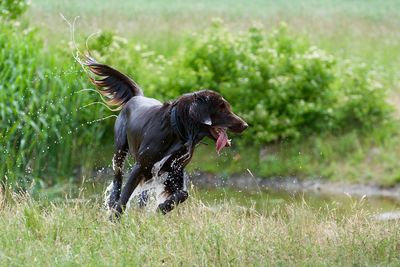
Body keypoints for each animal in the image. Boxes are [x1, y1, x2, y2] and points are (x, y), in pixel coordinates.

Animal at [83, 56, 248, 218]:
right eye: (222, 108)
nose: (245, 125)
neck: (177, 131)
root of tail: (137, 97)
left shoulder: (174, 171)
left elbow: (183, 193)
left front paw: (162, 208)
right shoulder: (141, 166)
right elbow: (125, 197)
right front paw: (113, 219)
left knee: (143, 194)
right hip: (120, 149)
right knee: (118, 178)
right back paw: (113, 201)